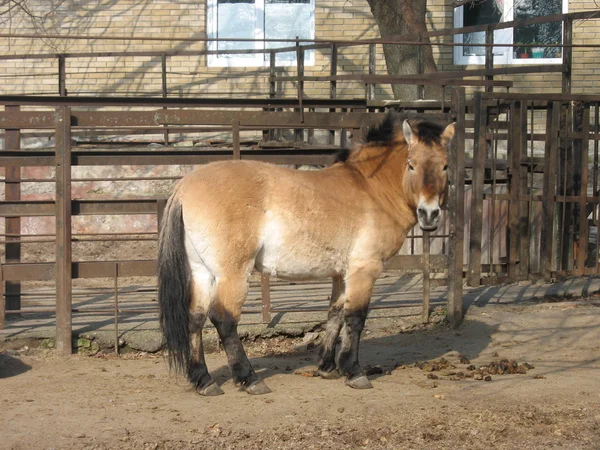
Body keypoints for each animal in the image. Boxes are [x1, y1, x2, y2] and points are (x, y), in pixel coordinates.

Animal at [158, 112, 454, 394]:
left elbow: (335, 314)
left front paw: (327, 366)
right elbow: (355, 318)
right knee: (224, 319)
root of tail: (183, 188)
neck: (371, 189)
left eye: (445, 165)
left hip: (201, 272)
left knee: (195, 318)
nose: (430, 215)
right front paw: (354, 371)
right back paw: (249, 379)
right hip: (232, 275)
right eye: (411, 164)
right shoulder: (364, 270)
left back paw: (204, 381)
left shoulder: (342, 274)